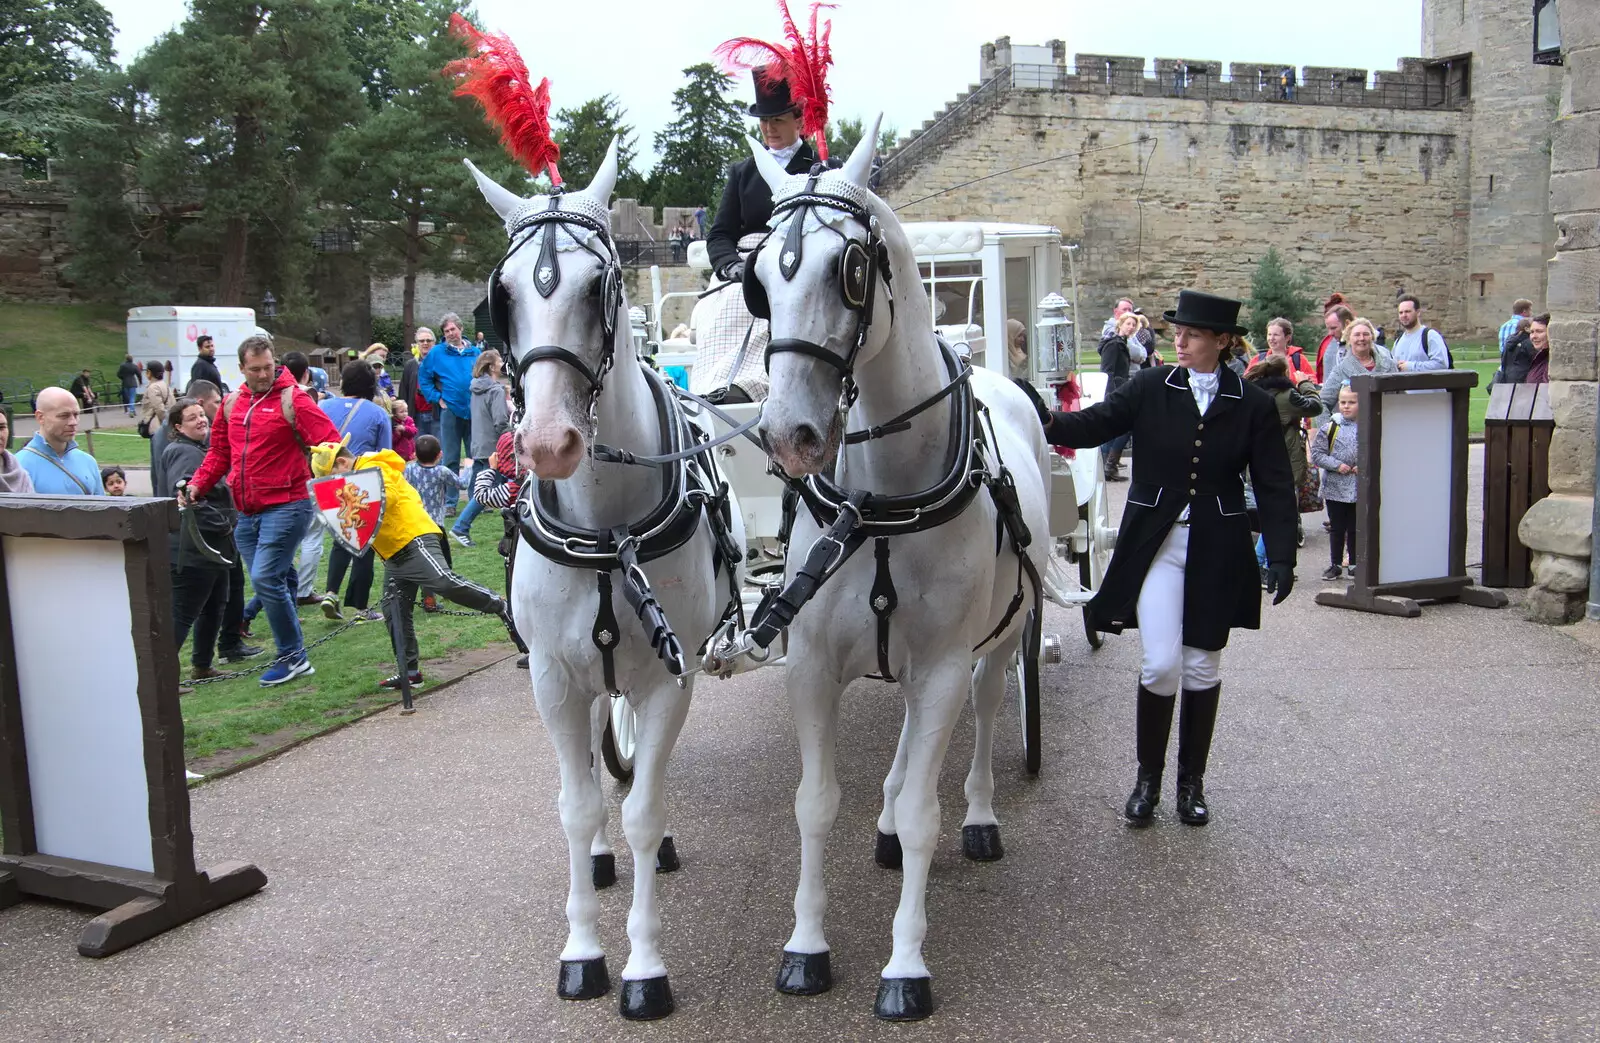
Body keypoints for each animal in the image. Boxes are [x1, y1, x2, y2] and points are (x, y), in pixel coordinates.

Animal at [448, 16, 739, 1023]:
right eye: (501, 296)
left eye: (601, 285)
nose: (546, 442)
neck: (609, 534)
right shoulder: (553, 679)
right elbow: (576, 806)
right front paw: (582, 949)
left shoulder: (669, 677)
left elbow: (648, 803)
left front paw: (645, 965)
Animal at [745, 122, 1056, 1017]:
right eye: (757, 278)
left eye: (848, 269)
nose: (789, 433)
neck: (880, 504)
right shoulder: (812, 664)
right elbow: (816, 804)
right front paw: (806, 946)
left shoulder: (947, 659)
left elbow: (926, 810)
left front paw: (906, 964)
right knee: (912, 735)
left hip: (994, 642)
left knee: (981, 716)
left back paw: (981, 813)